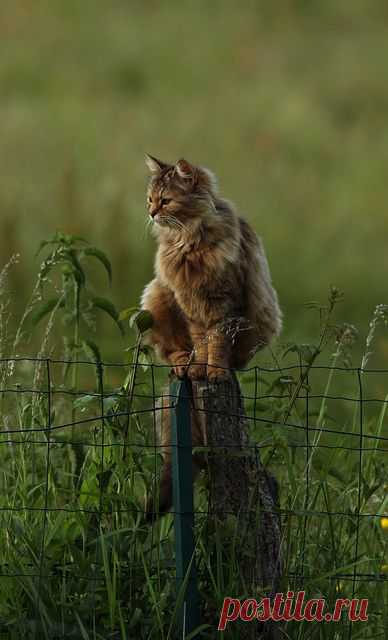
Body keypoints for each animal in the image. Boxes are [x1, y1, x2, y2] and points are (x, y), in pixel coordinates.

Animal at [141, 156, 280, 520]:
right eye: (150, 199)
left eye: (166, 201)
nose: (151, 213)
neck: (188, 240)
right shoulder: (190, 306)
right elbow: (200, 343)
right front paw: (198, 368)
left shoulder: (223, 307)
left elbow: (216, 345)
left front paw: (214, 371)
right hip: (156, 293)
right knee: (175, 352)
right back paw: (182, 365)